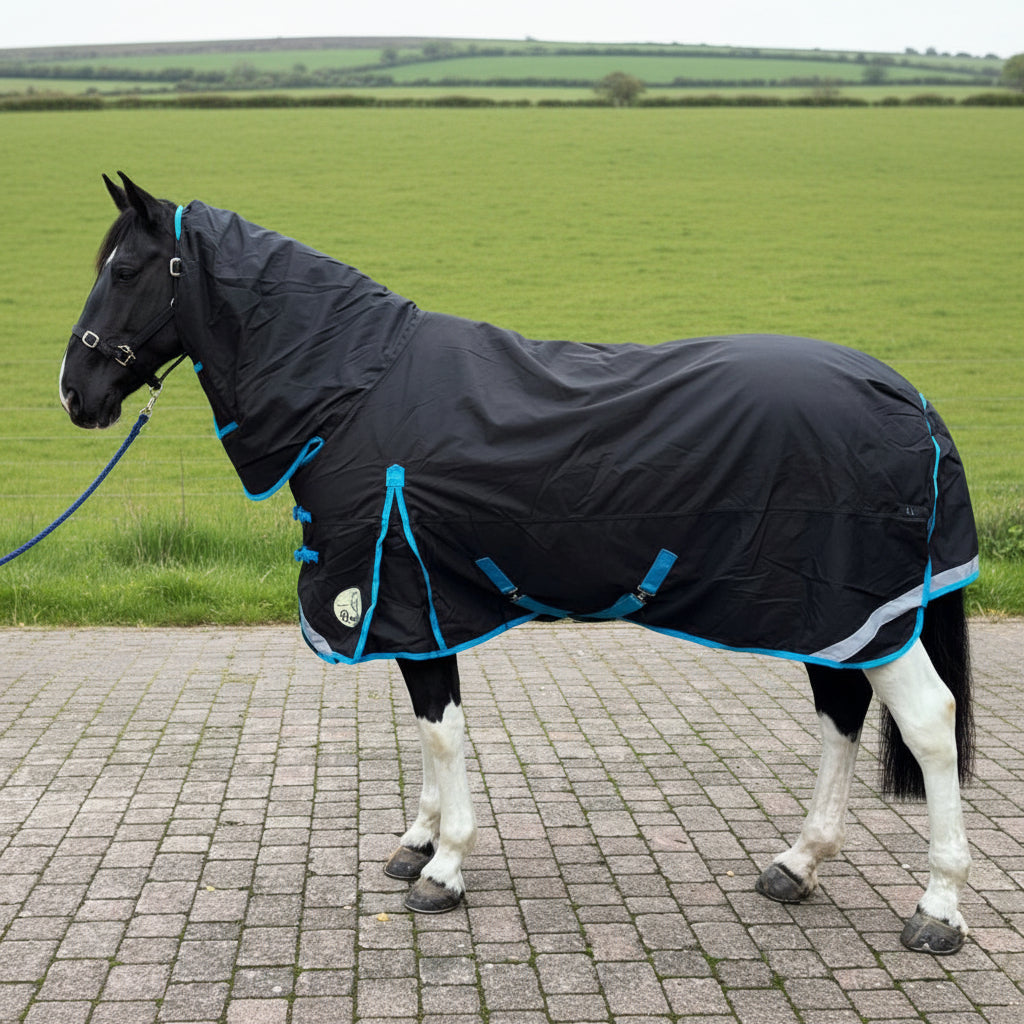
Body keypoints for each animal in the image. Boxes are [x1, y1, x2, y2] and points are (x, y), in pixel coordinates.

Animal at [59, 173, 980, 954]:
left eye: (128, 268)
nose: (75, 393)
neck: (356, 393)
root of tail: (909, 398)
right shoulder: (420, 610)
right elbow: (428, 729)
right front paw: (417, 840)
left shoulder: (405, 594)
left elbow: (441, 729)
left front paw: (443, 870)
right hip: (828, 615)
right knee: (841, 713)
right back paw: (797, 863)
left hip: (856, 611)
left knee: (928, 723)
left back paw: (937, 909)